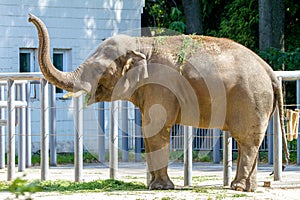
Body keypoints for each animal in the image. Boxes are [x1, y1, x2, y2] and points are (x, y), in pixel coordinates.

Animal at [28, 14, 288, 192]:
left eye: (97, 69)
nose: (30, 16)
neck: (141, 43)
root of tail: (269, 70)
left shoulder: (160, 85)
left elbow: (155, 128)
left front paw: (161, 187)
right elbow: (148, 130)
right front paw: (154, 185)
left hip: (251, 98)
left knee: (247, 141)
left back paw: (238, 188)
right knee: (249, 142)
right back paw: (247, 188)